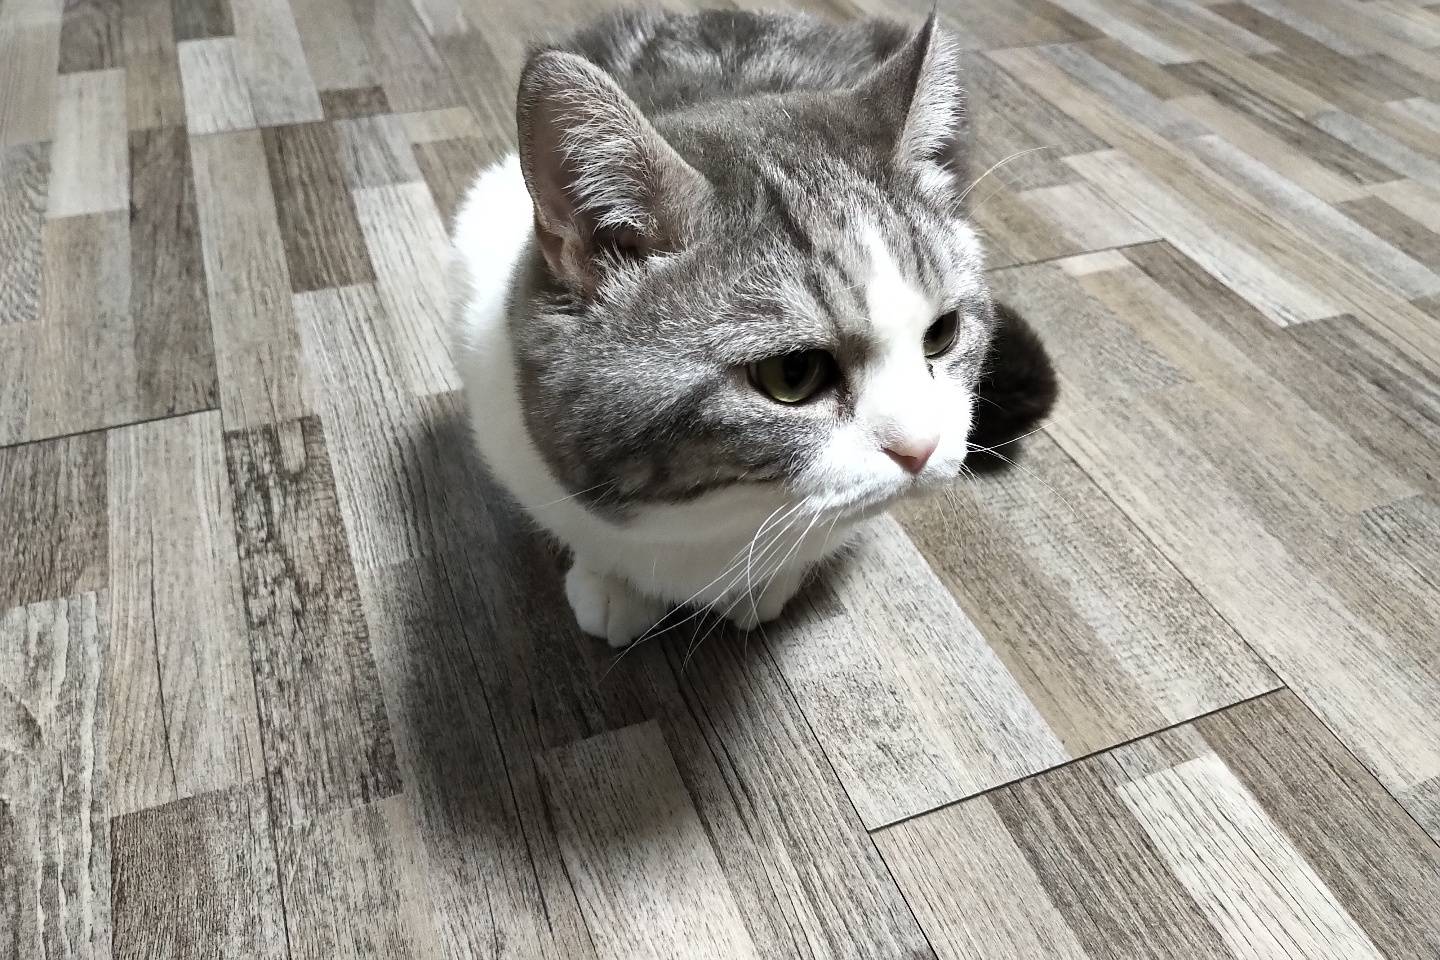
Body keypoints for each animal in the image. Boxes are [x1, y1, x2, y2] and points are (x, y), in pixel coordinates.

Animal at [449, 8, 1057, 646]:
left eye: (941, 333)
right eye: (793, 373)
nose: (922, 446)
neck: (715, 522)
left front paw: (765, 581)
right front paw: (611, 579)